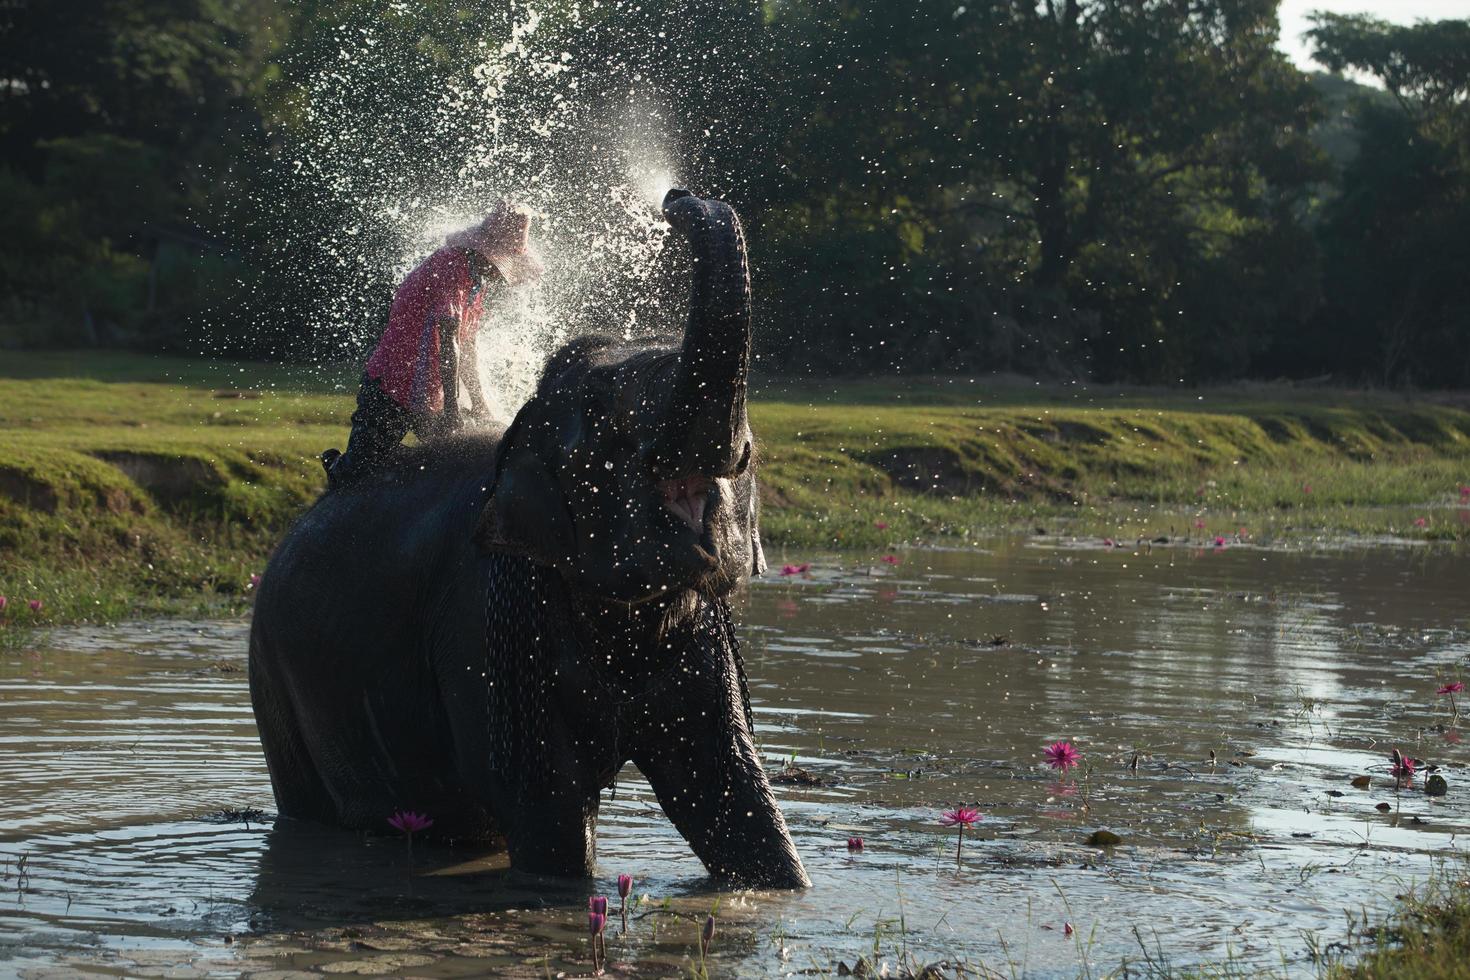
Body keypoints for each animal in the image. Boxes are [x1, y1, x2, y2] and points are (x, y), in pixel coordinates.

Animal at [246, 189, 811, 887]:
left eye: (749, 451)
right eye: (604, 416)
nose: (676, 198)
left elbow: (726, 782)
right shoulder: (480, 622)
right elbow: (545, 798)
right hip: (278, 692)